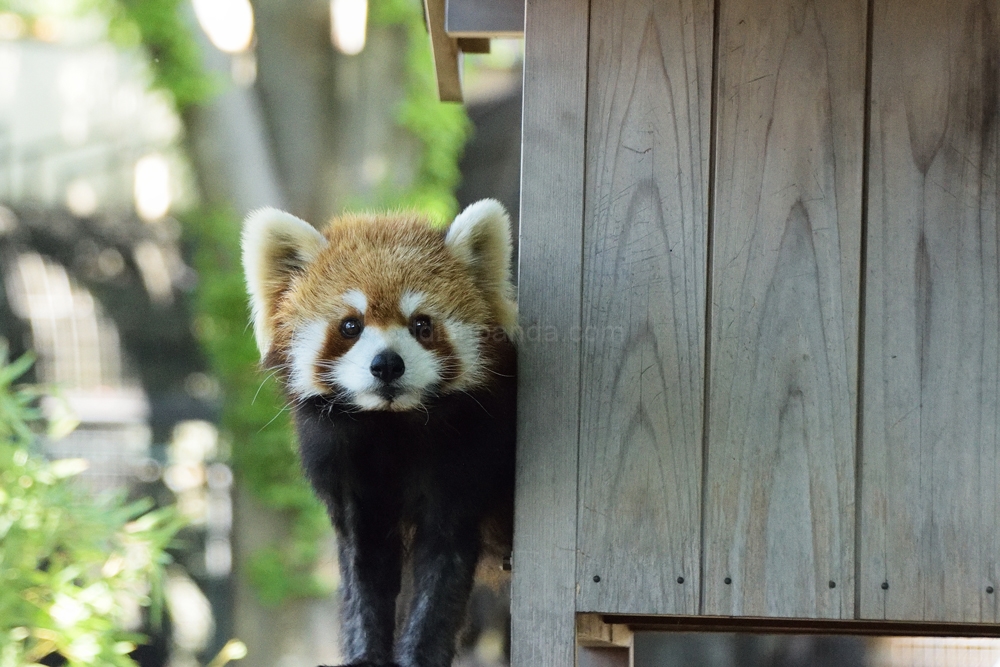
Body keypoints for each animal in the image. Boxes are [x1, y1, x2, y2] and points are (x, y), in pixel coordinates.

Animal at [241, 201, 516, 667]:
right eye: (350, 326)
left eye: (422, 324)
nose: (387, 364)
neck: (391, 425)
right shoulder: (343, 468)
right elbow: (365, 565)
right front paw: (364, 654)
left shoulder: (467, 455)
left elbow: (443, 562)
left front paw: (420, 654)